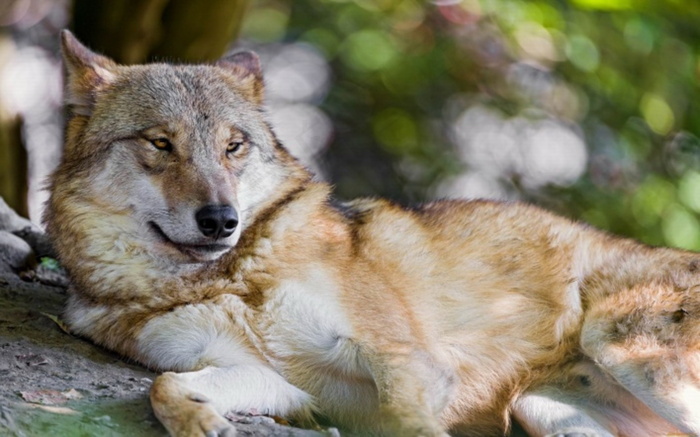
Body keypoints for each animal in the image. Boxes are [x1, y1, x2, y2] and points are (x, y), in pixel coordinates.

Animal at [45, 30, 700, 436]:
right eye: (160, 142)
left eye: (234, 146)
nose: (221, 220)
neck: (236, 276)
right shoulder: (276, 381)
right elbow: (166, 387)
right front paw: (200, 422)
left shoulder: (406, 363)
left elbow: (413, 422)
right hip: (542, 411)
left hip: (621, 346)